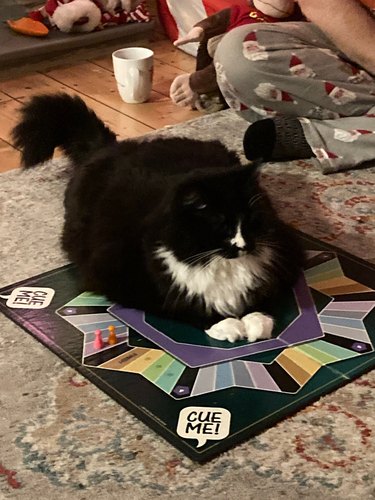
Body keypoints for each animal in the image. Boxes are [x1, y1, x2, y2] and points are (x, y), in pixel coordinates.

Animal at [12, 93, 306, 344]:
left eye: (251, 218)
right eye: (221, 223)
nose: (244, 245)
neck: (217, 263)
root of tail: (109, 148)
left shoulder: (286, 256)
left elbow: (263, 296)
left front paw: (257, 322)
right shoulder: (123, 279)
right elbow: (182, 306)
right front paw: (228, 325)